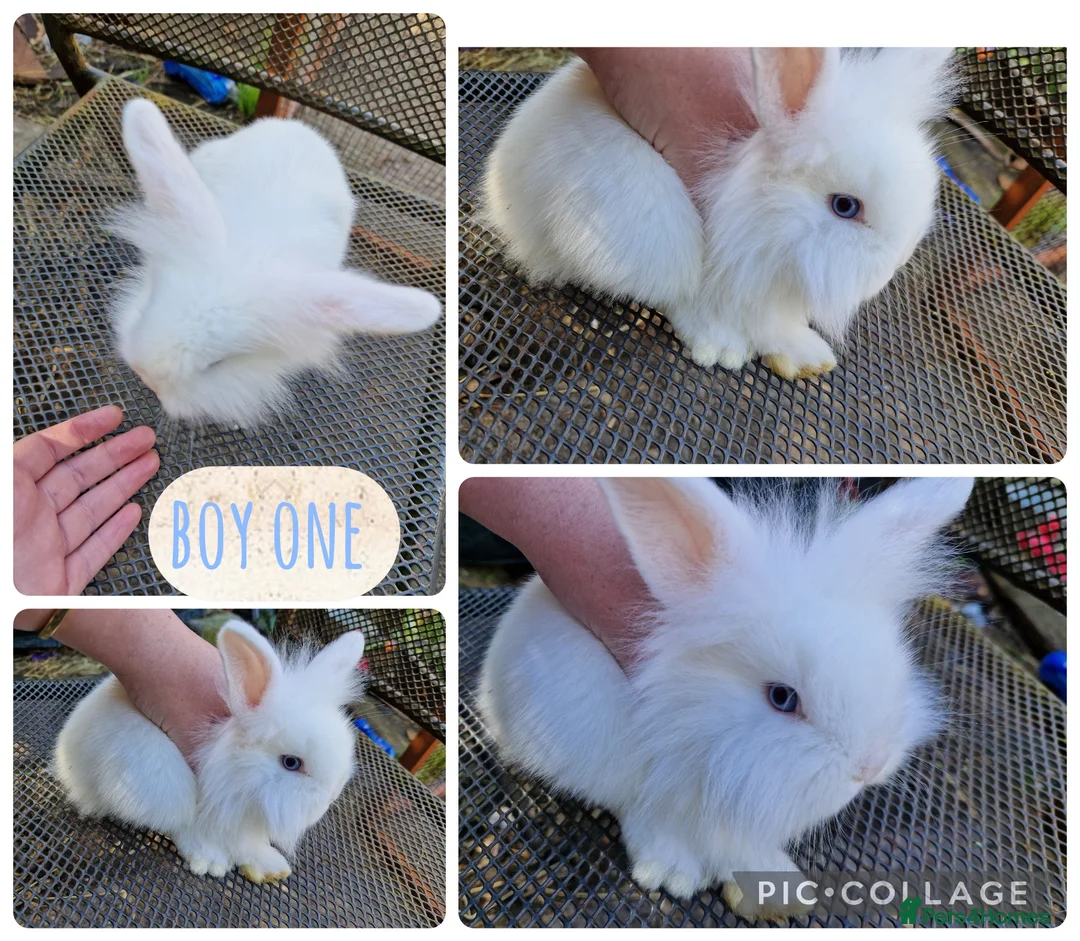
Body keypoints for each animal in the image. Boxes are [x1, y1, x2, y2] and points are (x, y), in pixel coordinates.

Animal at [53, 618, 366, 883]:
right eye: (291, 762)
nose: (331, 797)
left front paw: (269, 866)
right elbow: (194, 830)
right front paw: (213, 861)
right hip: (155, 783)